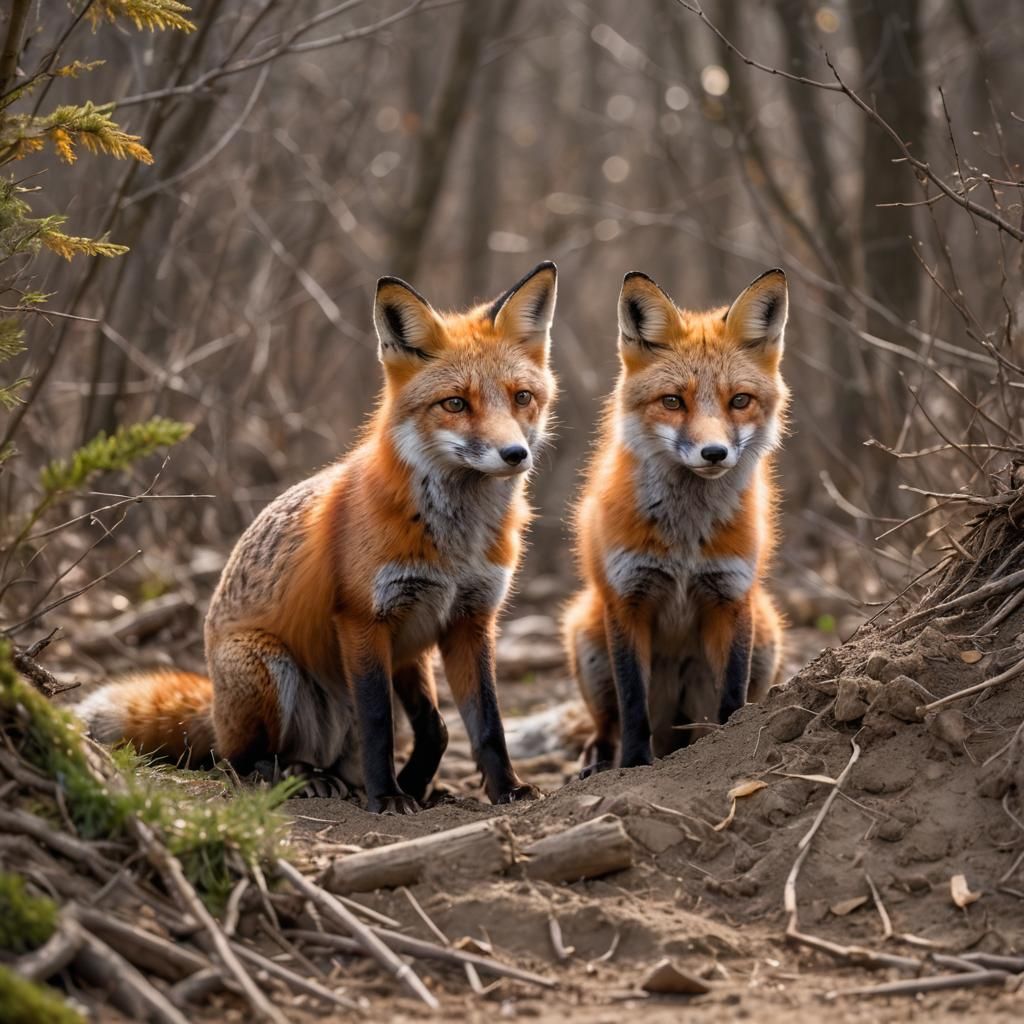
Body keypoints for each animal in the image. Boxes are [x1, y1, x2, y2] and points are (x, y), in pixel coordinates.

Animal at [77, 262, 559, 813]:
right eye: (455, 403)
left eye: (522, 397)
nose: (515, 454)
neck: (455, 543)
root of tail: (217, 707)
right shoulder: (362, 619)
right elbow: (379, 725)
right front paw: (386, 797)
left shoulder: (469, 619)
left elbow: (486, 724)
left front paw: (506, 789)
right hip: (268, 665)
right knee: (237, 759)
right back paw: (300, 775)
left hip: (406, 656)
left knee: (428, 730)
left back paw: (380, 782)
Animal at [563, 268, 789, 775]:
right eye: (673, 401)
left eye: (739, 400)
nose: (714, 453)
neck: (687, 536)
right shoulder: (627, 599)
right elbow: (632, 703)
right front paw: (633, 763)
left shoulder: (731, 596)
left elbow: (732, 695)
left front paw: (730, 743)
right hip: (587, 635)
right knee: (607, 723)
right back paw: (599, 758)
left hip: (767, 633)